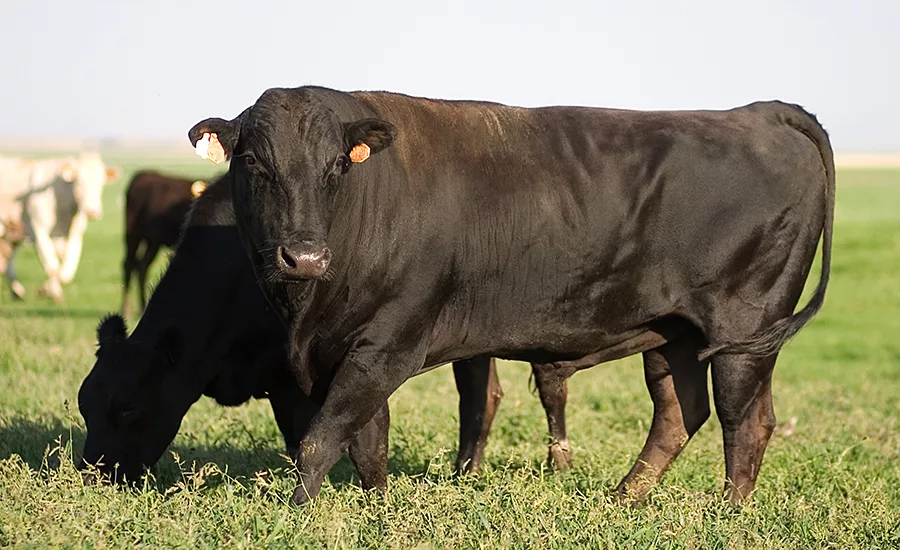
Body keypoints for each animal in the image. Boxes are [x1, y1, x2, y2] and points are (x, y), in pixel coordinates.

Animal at [0, 153, 119, 301]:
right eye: (79, 181)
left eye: (101, 183)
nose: (92, 211)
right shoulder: (38, 231)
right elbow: (52, 267)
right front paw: (54, 293)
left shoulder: (76, 234)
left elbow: (67, 272)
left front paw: (45, 290)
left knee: (8, 263)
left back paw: (17, 292)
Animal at [121, 171, 214, 317]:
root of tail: (142, 175)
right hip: (133, 234)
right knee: (129, 266)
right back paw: (126, 310)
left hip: (153, 241)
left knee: (142, 266)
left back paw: (143, 306)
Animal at [190, 86, 834, 506]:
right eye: (254, 162)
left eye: (335, 168)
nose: (304, 257)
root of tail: (759, 113)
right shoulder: (348, 349)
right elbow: (367, 445)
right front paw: (378, 511)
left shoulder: (387, 343)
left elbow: (320, 441)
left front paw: (300, 515)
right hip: (675, 334)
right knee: (681, 411)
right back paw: (624, 497)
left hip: (744, 330)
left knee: (745, 419)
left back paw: (730, 511)